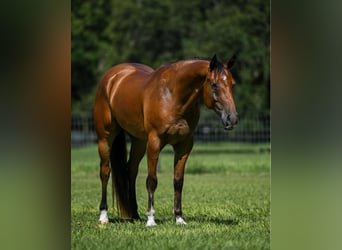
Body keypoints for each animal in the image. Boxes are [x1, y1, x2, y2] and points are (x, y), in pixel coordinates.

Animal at [93, 54, 238, 227]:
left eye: (232, 84)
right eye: (214, 84)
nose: (232, 118)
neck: (173, 96)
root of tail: (111, 77)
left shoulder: (184, 145)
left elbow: (178, 181)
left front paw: (179, 218)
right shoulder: (154, 142)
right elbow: (152, 180)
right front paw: (151, 220)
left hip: (139, 141)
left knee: (131, 171)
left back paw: (135, 215)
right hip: (105, 137)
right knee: (105, 172)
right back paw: (104, 217)